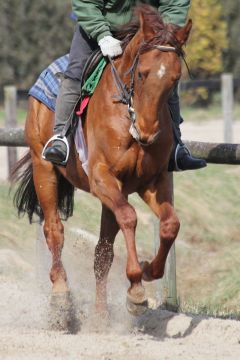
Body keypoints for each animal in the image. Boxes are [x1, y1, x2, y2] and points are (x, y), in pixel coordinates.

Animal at [14, 4, 191, 316]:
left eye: (175, 79)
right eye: (142, 74)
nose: (147, 132)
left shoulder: (151, 181)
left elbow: (170, 224)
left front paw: (147, 271)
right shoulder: (101, 177)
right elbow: (130, 217)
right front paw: (135, 286)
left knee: (103, 253)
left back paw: (100, 315)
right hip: (43, 167)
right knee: (54, 229)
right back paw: (61, 294)